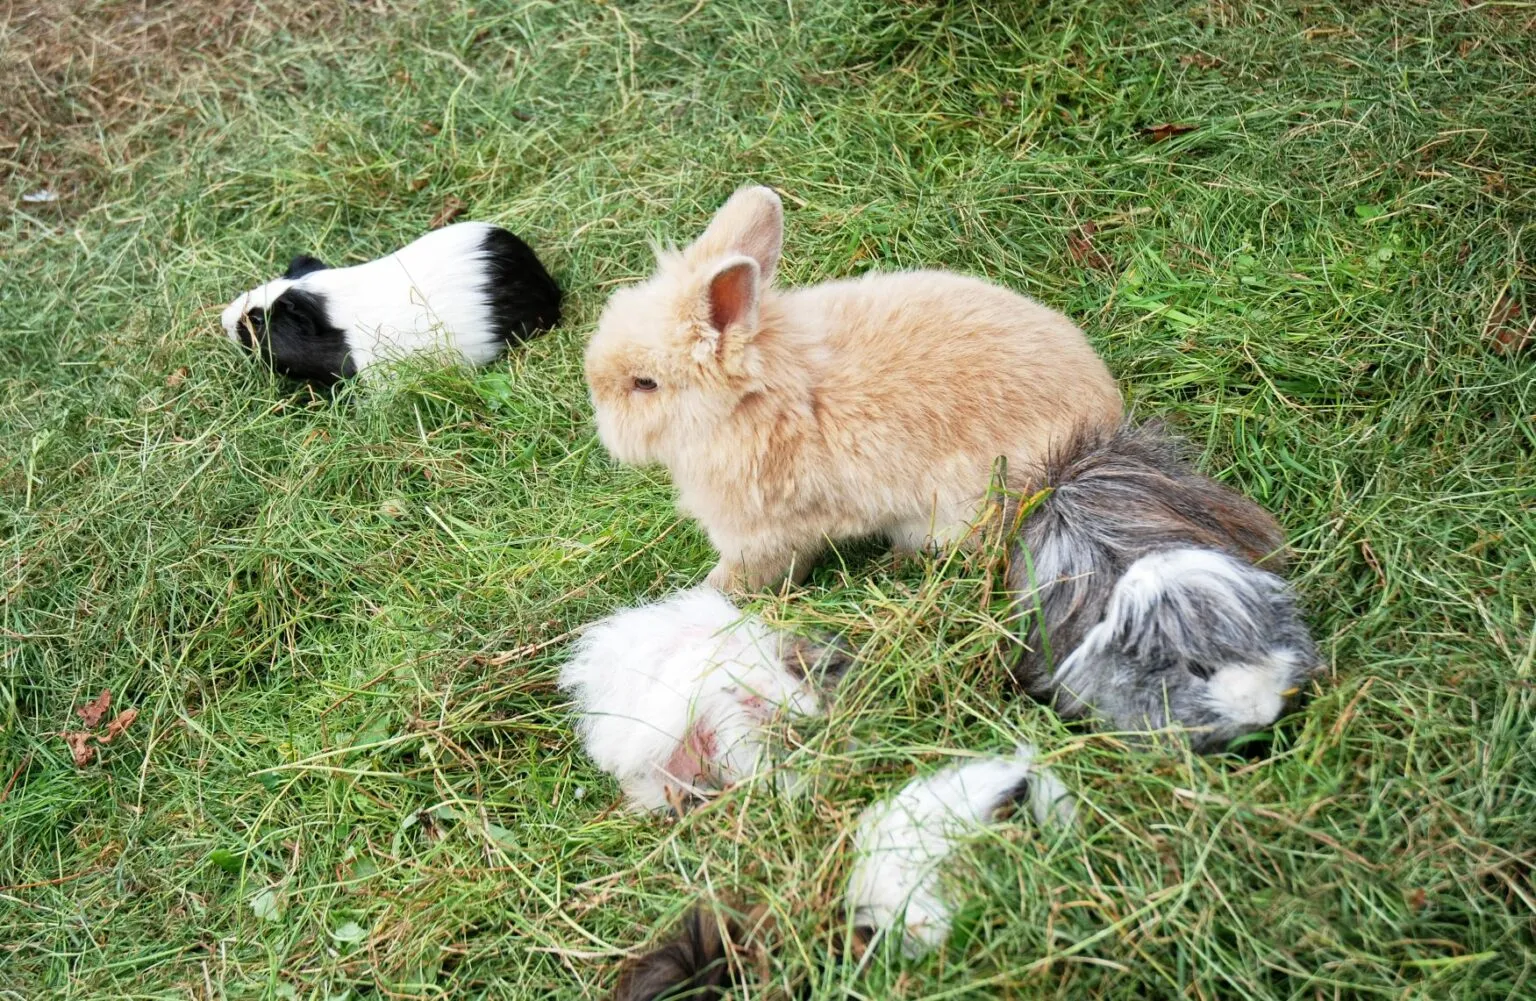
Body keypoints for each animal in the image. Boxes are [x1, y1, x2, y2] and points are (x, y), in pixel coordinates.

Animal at [580, 187, 1124, 589]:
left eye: (644, 384)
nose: (602, 421)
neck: (752, 403)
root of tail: (1105, 425)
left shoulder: (763, 535)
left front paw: (713, 593)